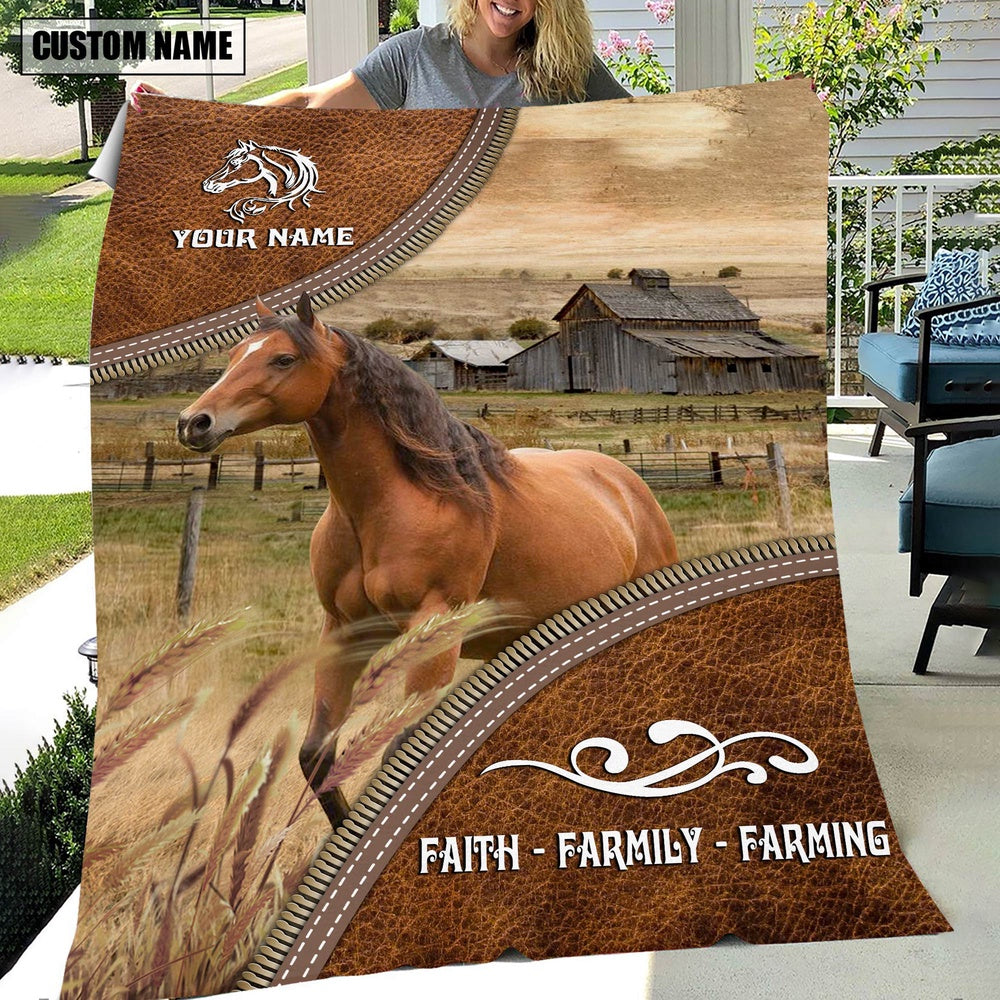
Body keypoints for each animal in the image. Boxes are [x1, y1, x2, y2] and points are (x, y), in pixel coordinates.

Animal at [177, 294, 679, 826]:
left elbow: (399, 750)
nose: (194, 421)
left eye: (283, 359)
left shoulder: (436, 627)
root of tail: (625, 482)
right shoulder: (344, 632)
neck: (399, 502)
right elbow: (317, 756)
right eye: (234, 356)